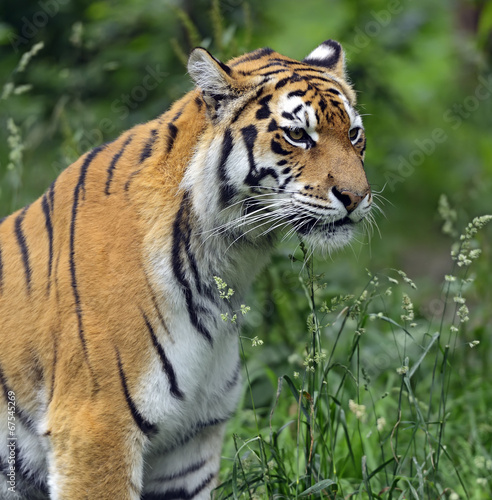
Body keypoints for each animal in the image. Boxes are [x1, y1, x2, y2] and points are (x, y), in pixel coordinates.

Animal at [0, 40, 368, 500]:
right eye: (298, 135)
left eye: (354, 135)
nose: (357, 197)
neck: (227, 263)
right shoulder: (96, 428)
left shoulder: (189, 440)